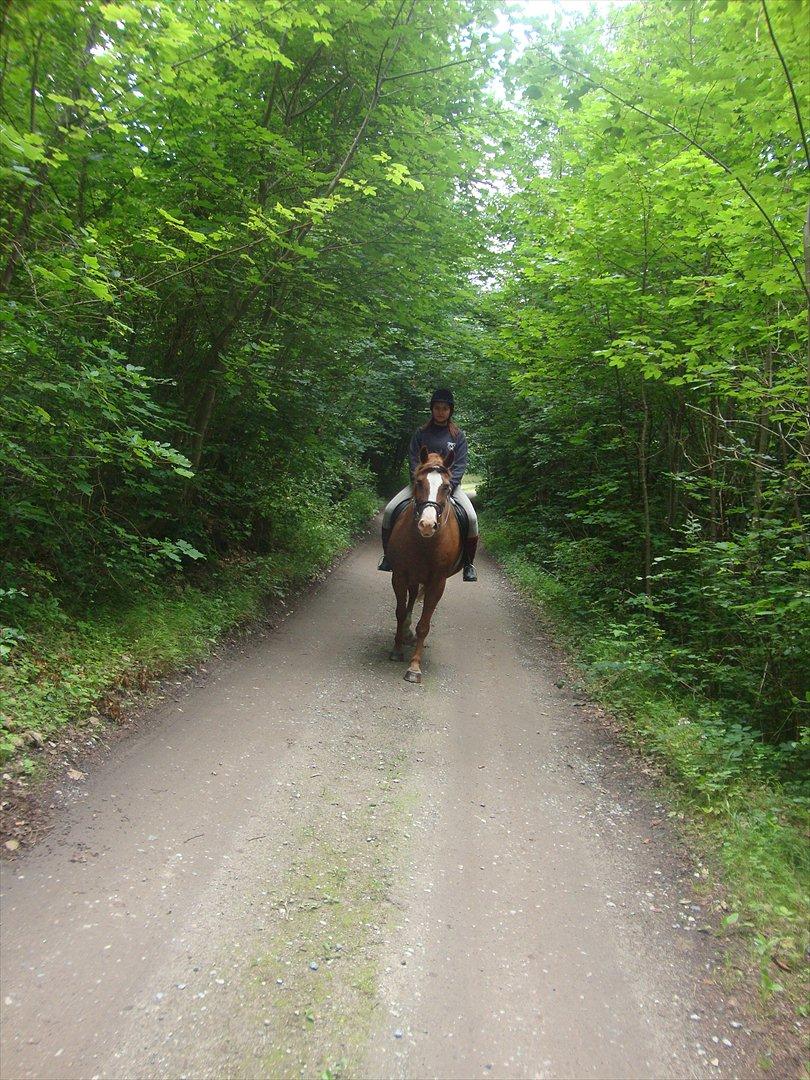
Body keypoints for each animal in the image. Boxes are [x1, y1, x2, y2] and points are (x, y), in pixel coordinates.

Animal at [388, 447, 462, 682]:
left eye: (446, 486)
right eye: (419, 482)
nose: (427, 525)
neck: (424, 542)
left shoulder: (437, 582)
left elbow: (424, 625)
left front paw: (414, 667)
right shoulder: (400, 575)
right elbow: (400, 612)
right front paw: (397, 650)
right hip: (412, 577)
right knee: (410, 600)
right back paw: (405, 633)